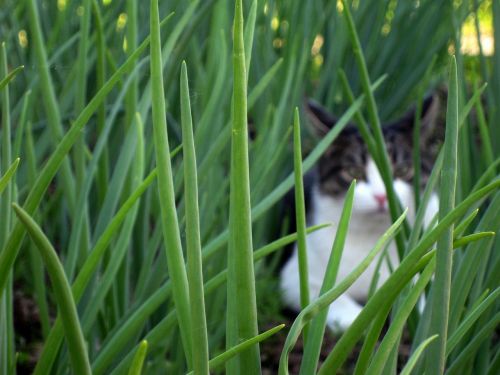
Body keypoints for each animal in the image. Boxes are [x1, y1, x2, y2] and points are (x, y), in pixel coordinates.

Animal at [282, 94, 442, 332]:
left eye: (403, 170)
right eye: (353, 171)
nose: (381, 196)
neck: (375, 236)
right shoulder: (294, 274)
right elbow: (324, 300)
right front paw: (356, 320)